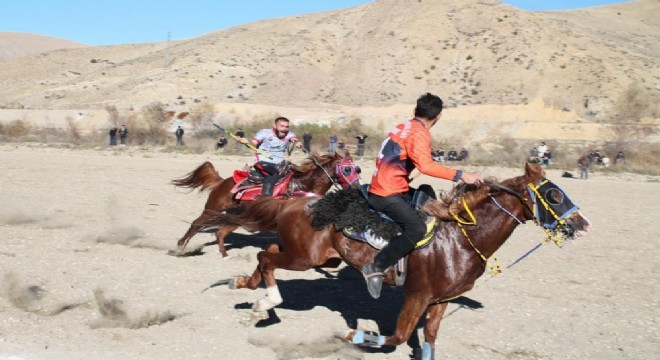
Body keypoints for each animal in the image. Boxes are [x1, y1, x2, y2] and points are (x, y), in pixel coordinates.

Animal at [168, 151, 358, 256]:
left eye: (358, 168)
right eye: (347, 168)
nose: (356, 186)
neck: (302, 186)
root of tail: (222, 182)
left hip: (235, 217)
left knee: (219, 233)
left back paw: (225, 255)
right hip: (212, 208)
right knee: (196, 224)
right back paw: (179, 247)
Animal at [205, 162, 588, 358]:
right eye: (554, 194)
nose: (583, 224)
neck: (458, 240)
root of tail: (294, 201)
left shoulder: (440, 300)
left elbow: (429, 338)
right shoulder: (416, 295)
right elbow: (398, 337)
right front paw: (357, 335)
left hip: (319, 259)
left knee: (266, 254)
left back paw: (245, 287)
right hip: (304, 257)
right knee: (265, 257)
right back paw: (265, 301)